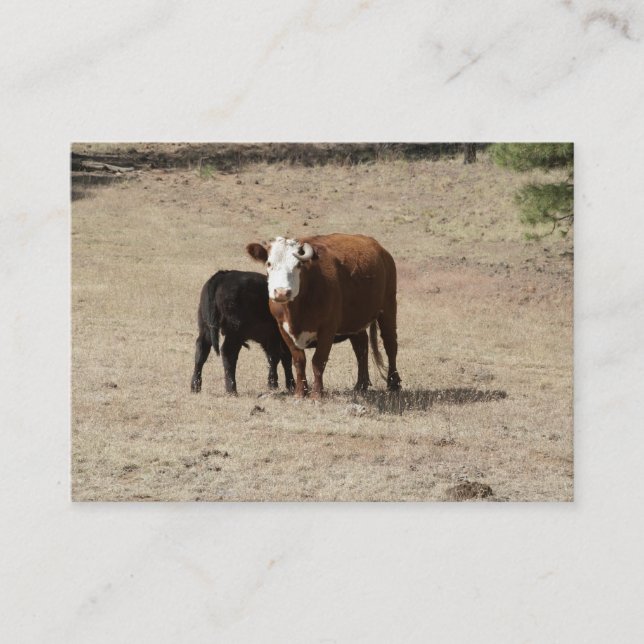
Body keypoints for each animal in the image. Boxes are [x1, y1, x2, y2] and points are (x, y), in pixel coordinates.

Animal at [246, 233, 401, 399]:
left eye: (298, 265)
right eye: (269, 263)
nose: (282, 292)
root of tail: (380, 249)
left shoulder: (327, 329)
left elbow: (318, 361)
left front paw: (316, 394)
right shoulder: (283, 328)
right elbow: (299, 361)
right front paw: (300, 393)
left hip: (388, 307)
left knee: (390, 344)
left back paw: (394, 383)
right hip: (355, 320)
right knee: (361, 347)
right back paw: (361, 384)